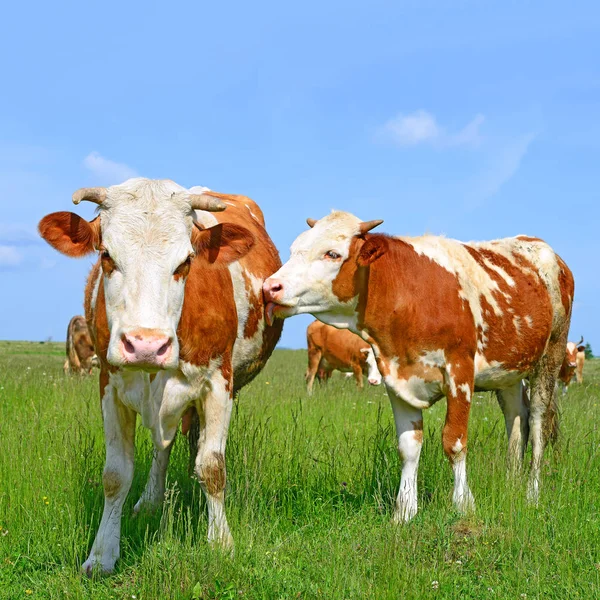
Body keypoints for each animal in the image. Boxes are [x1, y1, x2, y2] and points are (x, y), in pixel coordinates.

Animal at [38, 179, 284, 576]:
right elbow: (115, 475)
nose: (146, 345)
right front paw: (102, 554)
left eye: (186, 261)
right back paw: (151, 501)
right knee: (163, 448)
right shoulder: (109, 385)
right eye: (106, 255)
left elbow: (212, 467)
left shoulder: (219, 384)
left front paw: (221, 543)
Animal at [264, 213, 576, 524]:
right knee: (516, 419)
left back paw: (532, 494)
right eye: (293, 249)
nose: (269, 287)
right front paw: (404, 512)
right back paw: (512, 484)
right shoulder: (396, 378)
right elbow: (409, 447)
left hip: (550, 357)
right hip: (509, 372)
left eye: (332, 253)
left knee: (538, 423)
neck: (408, 295)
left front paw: (463, 504)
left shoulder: (460, 372)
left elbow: (454, 442)